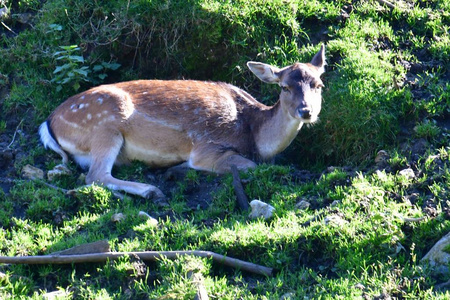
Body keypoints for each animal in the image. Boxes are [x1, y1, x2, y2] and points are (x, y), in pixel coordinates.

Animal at [40, 44, 326, 202]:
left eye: (319, 84)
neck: (253, 134)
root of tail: (49, 122)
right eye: (285, 87)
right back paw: (151, 190)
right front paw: (179, 170)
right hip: (105, 127)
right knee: (95, 175)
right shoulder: (207, 148)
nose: (306, 111)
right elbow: (248, 165)